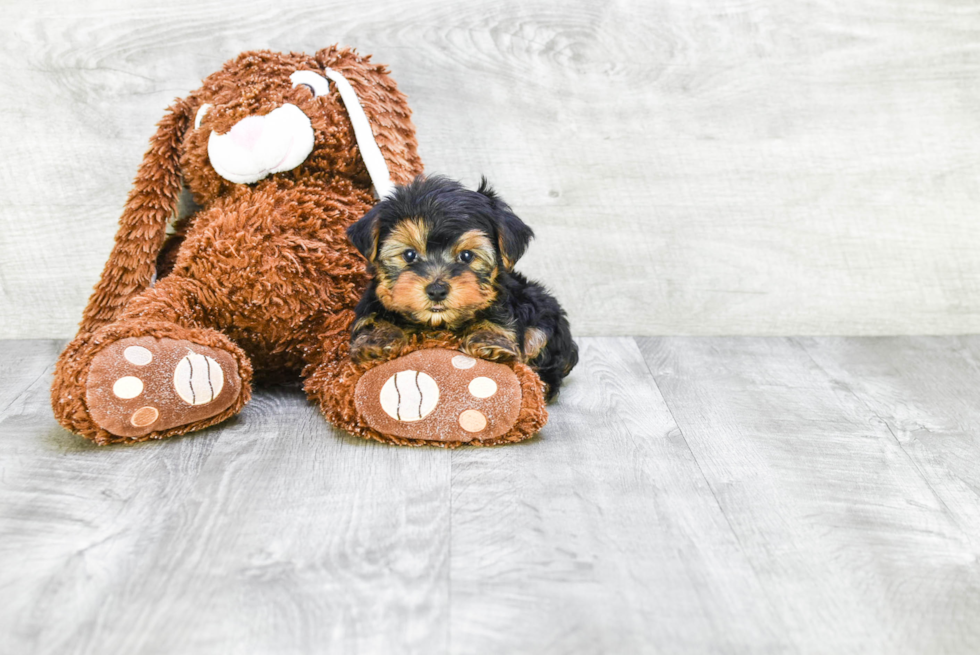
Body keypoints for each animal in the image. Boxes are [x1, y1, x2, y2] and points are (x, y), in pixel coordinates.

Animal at [346, 176, 580, 400]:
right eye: (409, 254)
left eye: (466, 256)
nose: (437, 290)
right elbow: (374, 317)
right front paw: (379, 339)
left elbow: (499, 316)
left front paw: (489, 341)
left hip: (543, 310)